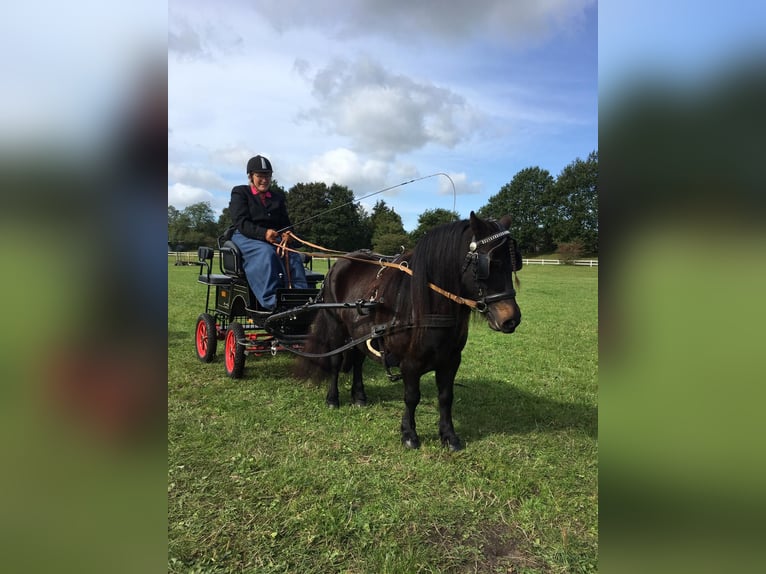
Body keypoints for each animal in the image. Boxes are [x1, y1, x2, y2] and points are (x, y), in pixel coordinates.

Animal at [296, 214, 520, 452]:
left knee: (357, 360)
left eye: (514, 263)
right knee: (336, 362)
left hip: (358, 331)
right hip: (336, 326)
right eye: (492, 263)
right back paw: (332, 399)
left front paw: (449, 436)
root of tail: (339, 263)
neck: (426, 307)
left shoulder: (451, 360)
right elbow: (412, 397)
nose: (511, 319)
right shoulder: (410, 362)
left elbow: (446, 397)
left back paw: (359, 396)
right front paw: (409, 434)